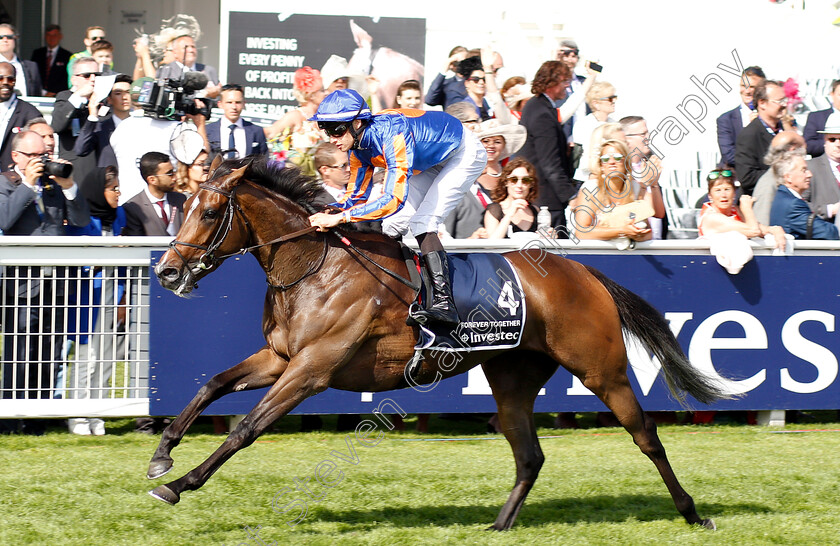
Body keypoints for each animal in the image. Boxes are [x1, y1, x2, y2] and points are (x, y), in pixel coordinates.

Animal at [151, 155, 728, 528]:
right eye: (185, 205)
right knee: (530, 455)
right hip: (513, 377)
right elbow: (211, 385)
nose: (167, 270)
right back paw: (498, 525)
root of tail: (585, 273)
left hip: (601, 370)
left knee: (646, 436)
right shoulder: (280, 358)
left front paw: (179, 484)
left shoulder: (312, 369)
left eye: (209, 212)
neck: (314, 267)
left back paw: (692, 513)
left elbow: (247, 428)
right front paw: (162, 457)